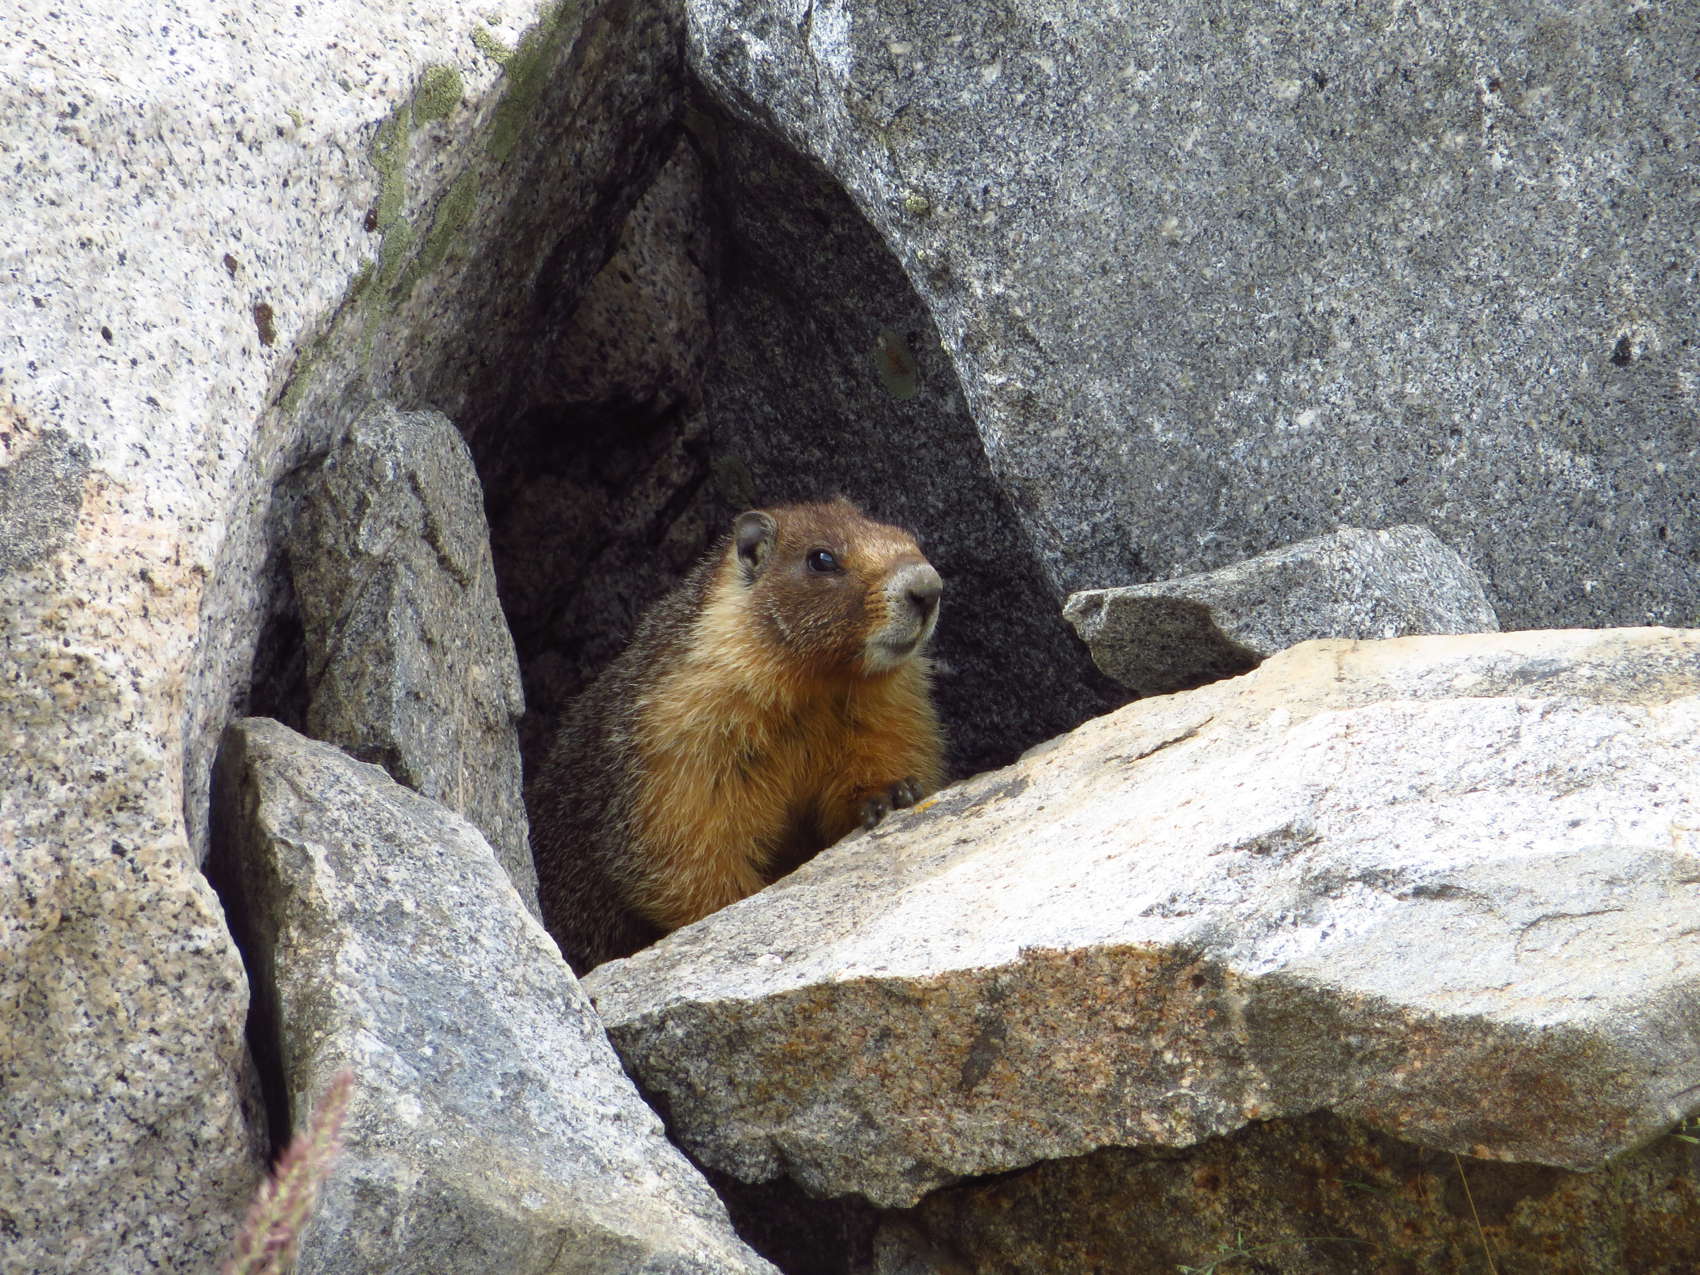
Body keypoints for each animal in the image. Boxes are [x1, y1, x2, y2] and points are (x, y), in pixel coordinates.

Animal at [528, 498, 945, 974]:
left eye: (905, 535)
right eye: (821, 559)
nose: (927, 587)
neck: (819, 689)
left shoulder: (889, 706)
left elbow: (887, 746)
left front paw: (889, 793)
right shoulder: (681, 733)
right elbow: (688, 840)